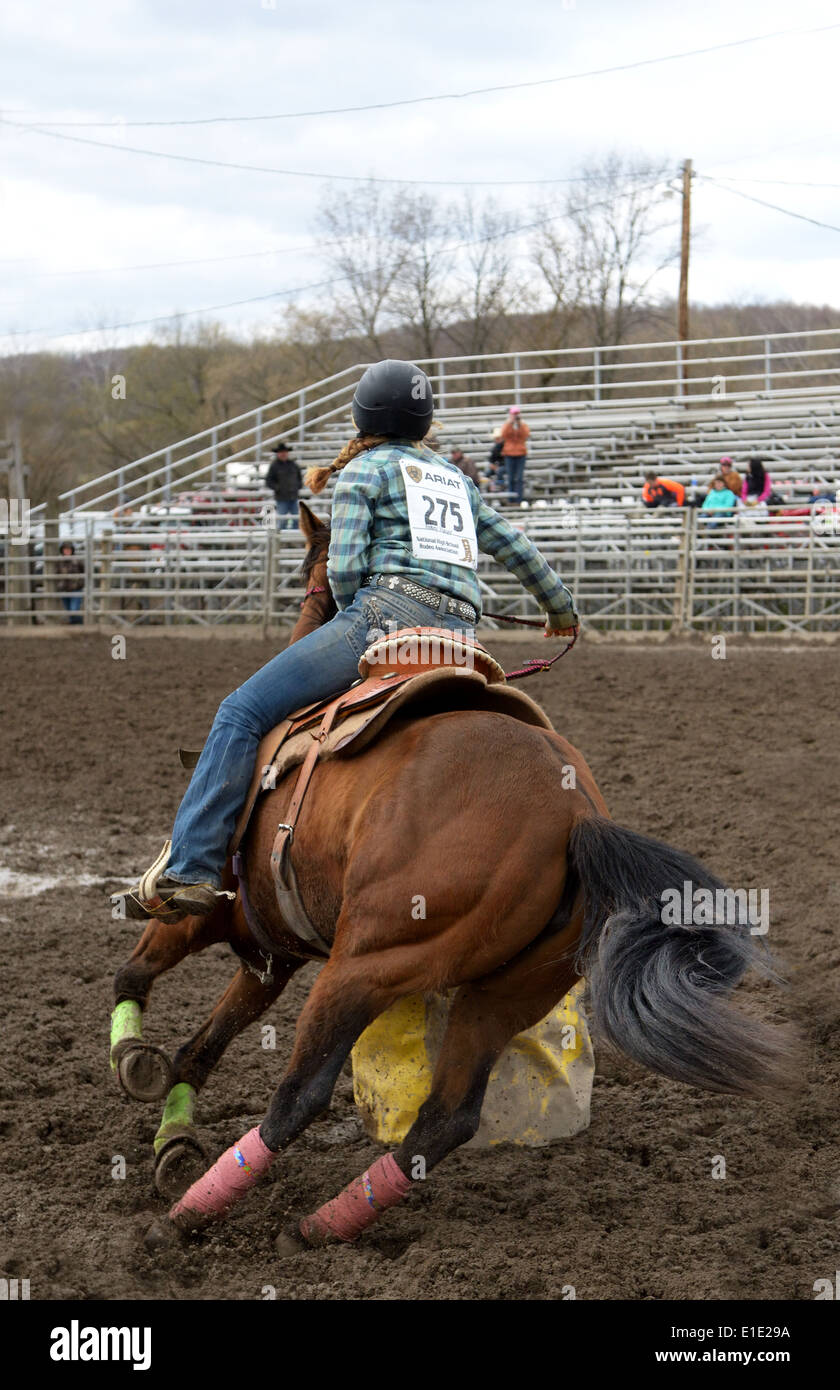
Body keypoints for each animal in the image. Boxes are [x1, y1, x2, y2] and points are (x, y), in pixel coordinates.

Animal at [113, 505, 795, 1256]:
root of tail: (574, 816)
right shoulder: (270, 957)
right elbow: (199, 1050)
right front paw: (172, 1139)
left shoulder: (211, 917)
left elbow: (137, 975)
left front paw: (136, 1066)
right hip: (504, 994)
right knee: (447, 1116)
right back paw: (324, 1222)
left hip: (366, 965)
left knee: (302, 1094)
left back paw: (194, 1217)